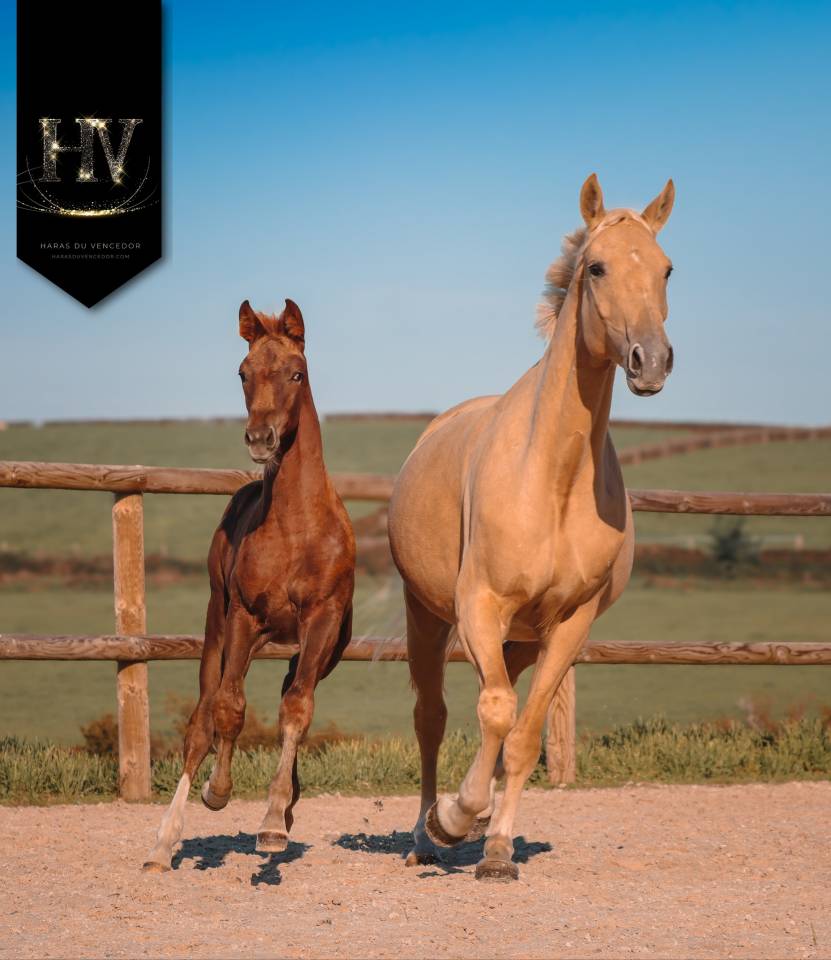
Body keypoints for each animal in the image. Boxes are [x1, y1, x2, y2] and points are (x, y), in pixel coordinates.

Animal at [144, 298, 355, 872]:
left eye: (296, 372)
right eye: (242, 372)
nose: (261, 440)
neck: (296, 526)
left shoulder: (322, 623)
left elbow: (297, 709)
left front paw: (274, 821)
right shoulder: (243, 616)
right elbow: (229, 708)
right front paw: (218, 792)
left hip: (312, 647)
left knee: (288, 692)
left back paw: (287, 805)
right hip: (218, 625)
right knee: (201, 721)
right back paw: (164, 843)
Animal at [388, 174, 675, 881]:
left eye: (666, 269)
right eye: (597, 267)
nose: (651, 361)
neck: (551, 479)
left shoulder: (570, 622)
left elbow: (520, 734)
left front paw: (495, 847)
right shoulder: (478, 604)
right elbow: (490, 713)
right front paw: (455, 817)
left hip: (518, 641)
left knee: (500, 715)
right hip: (428, 616)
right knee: (432, 718)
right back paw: (424, 835)